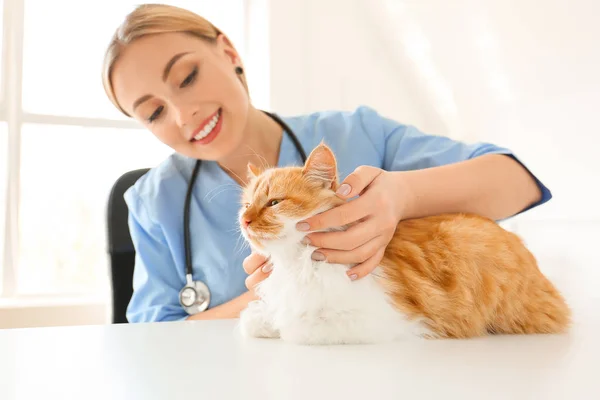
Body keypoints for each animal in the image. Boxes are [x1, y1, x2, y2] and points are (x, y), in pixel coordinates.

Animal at [237, 143, 568, 344]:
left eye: (274, 203)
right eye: (247, 205)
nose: (246, 221)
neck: (295, 262)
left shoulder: (385, 320)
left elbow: (296, 326)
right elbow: (258, 318)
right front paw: (262, 319)